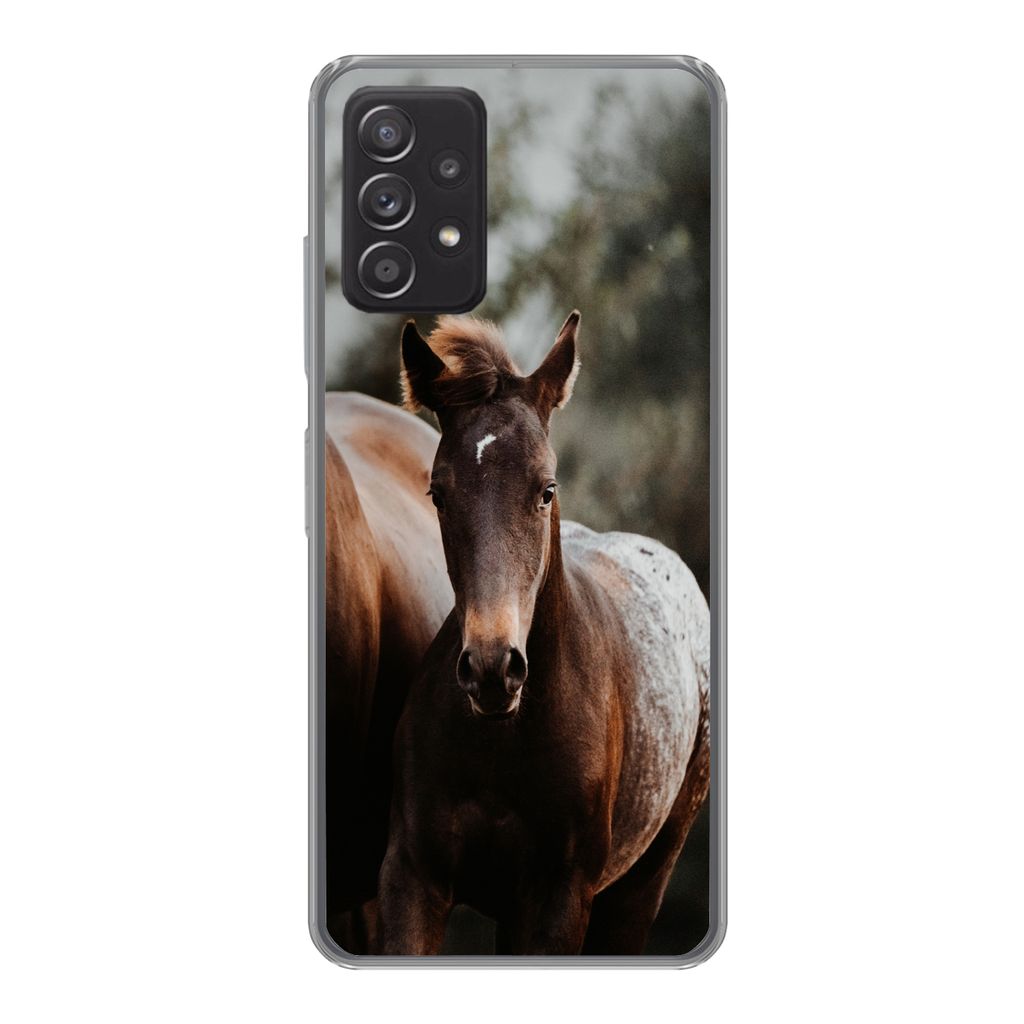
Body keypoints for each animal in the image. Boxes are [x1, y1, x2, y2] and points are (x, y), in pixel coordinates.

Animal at [377, 312, 711, 955]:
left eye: (547, 489)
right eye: (438, 492)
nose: (491, 669)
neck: (504, 738)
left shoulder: (559, 899)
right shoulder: (413, 878)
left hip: (638, 889)